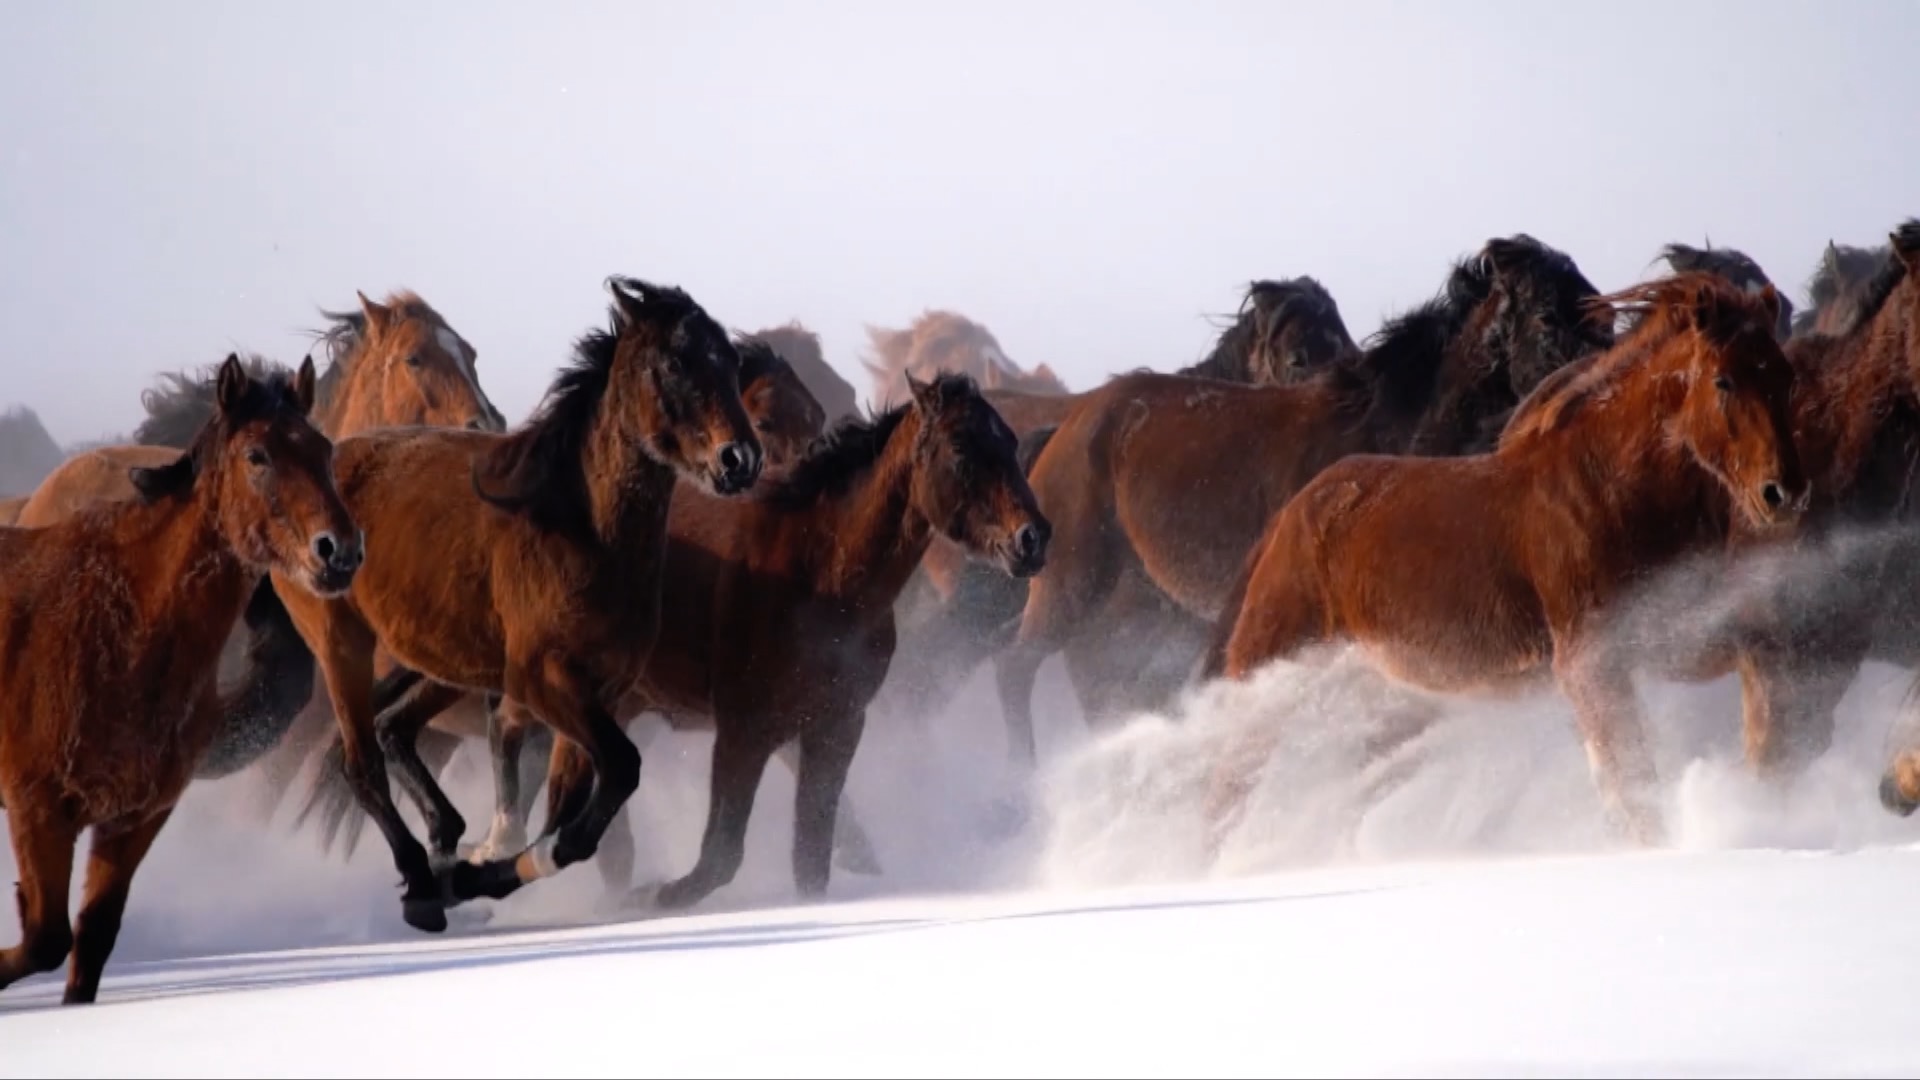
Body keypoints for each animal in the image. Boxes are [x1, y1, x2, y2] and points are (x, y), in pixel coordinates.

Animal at [0, 354, 359, 1006]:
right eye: (257, 455)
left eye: (322, 448)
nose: (339, 551)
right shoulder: (37, 809)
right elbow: (43, 938)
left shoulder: (135, 818)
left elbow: (89, 940)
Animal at [256, 277, 761, 933]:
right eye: (675, 362)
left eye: (730, 361)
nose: (741, 459)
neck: (578, 527)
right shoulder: (546, 682)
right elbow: (612, 781)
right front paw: (477, 869)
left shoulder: (595, 693)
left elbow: (570, 814)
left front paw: (481, 869)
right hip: (343, 645)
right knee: (361, 762)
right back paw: (423, 883)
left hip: (443, 661)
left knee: (394, 729)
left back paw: (446, 846)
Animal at [331, 372, 1051, 913]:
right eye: (962, 452)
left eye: (1010, 442)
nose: (1033, 539)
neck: (820, 574)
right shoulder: (745, 729)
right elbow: (719, 856)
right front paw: (653, 896)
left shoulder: (836, 727)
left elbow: (810, 858)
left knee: (416, 734)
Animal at [992, 234, 1614, 764]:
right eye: (1546, 314)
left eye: (1603, 311)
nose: (1604, 382)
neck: (1389, 428)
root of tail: (1066, 428)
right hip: (1072, 582)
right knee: (1015, 669)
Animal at [1201, 272, 1805, 850]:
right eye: (1724, 380)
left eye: (1783, 375)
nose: (1783, 493)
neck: (1609, 491)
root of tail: (1290, 517)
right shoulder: (1592, 663)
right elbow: (1630, 782)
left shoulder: (1673, 634)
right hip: (1268, 663)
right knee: (1230, 779)